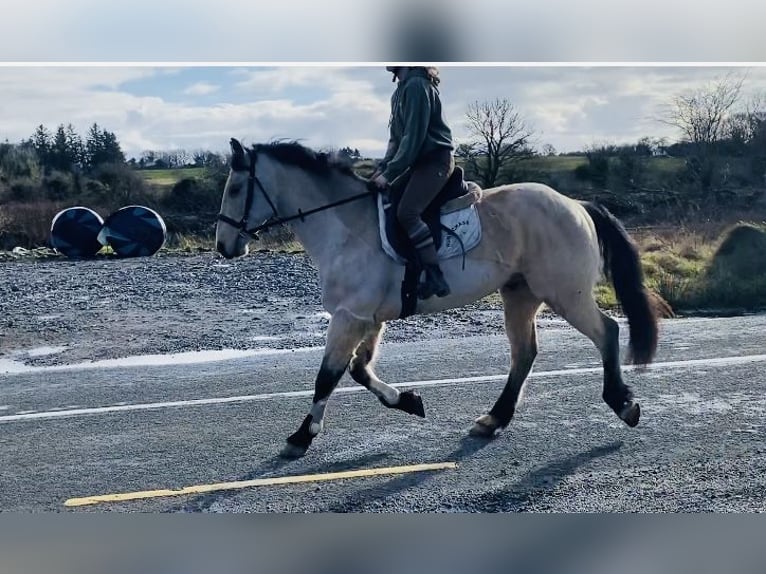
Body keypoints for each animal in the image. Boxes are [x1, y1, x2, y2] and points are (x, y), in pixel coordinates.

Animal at [216, 138, 672, 460]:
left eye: (236, 187)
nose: (223, 246)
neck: (346, 226)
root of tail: (575, 204)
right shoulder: (369, 318)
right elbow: (359, 371)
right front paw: (408, 401)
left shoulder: (350, 316)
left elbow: (327, 376)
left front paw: (300, 437)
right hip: (520, 294)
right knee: (524, 354)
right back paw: (493, 419)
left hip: (565, 293)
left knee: (606, 332)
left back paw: (623, 404)